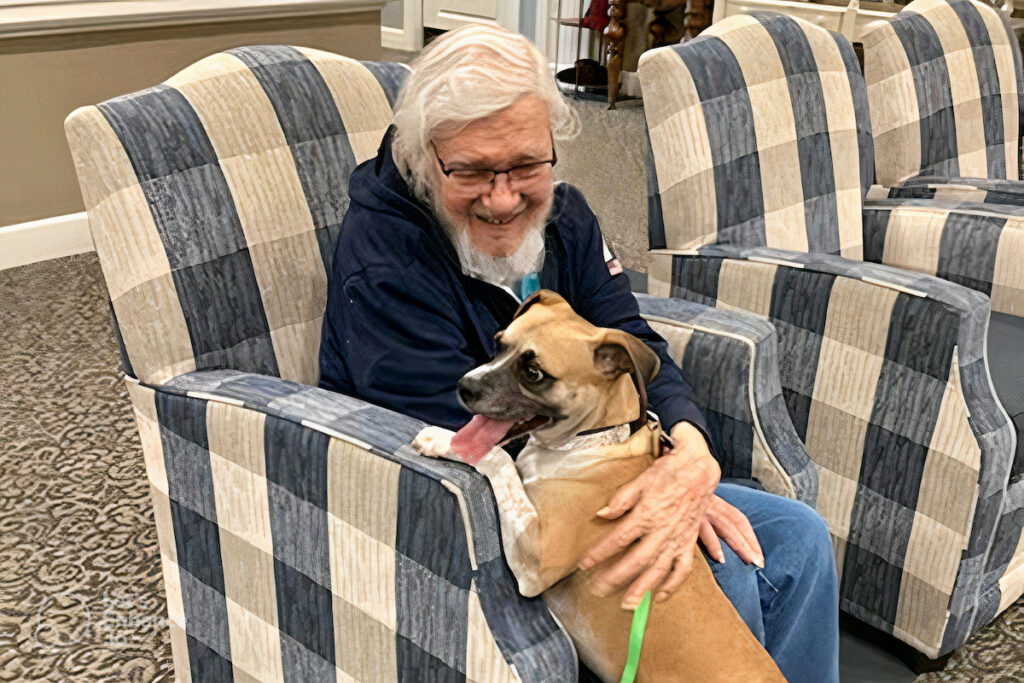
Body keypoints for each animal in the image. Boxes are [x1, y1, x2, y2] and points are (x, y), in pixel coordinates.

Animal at [415, 290, 782, 683]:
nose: (463, 386)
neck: (590, 441)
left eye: (534, 373)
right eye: (499, 344)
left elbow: (499, 458)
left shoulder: (534, 559)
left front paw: (440, 439)